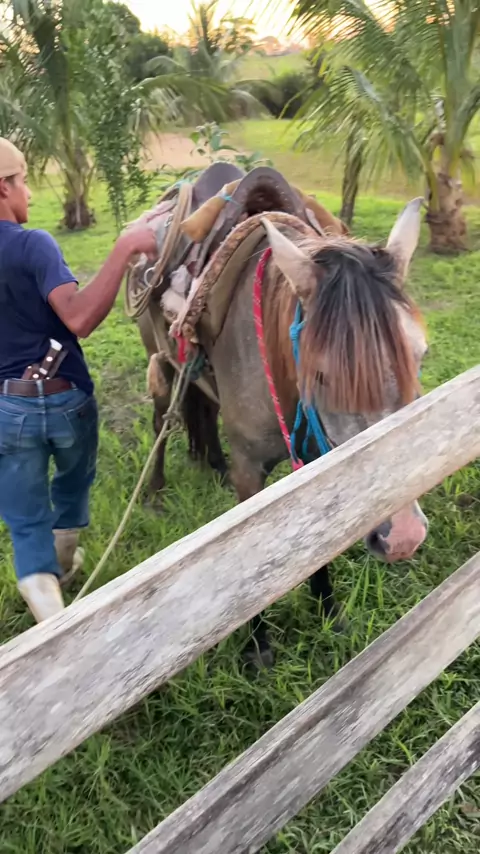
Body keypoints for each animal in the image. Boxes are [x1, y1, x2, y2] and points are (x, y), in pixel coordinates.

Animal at [138, 196, 429, 668]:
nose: (402, 536)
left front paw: (329, 613)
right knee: (163, 419)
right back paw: (156, 492)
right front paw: (258, 646)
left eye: (420, 355)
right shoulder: (250, 476)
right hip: (162, 361)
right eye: (321, 374)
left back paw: (212, 464)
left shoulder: (314, 464)